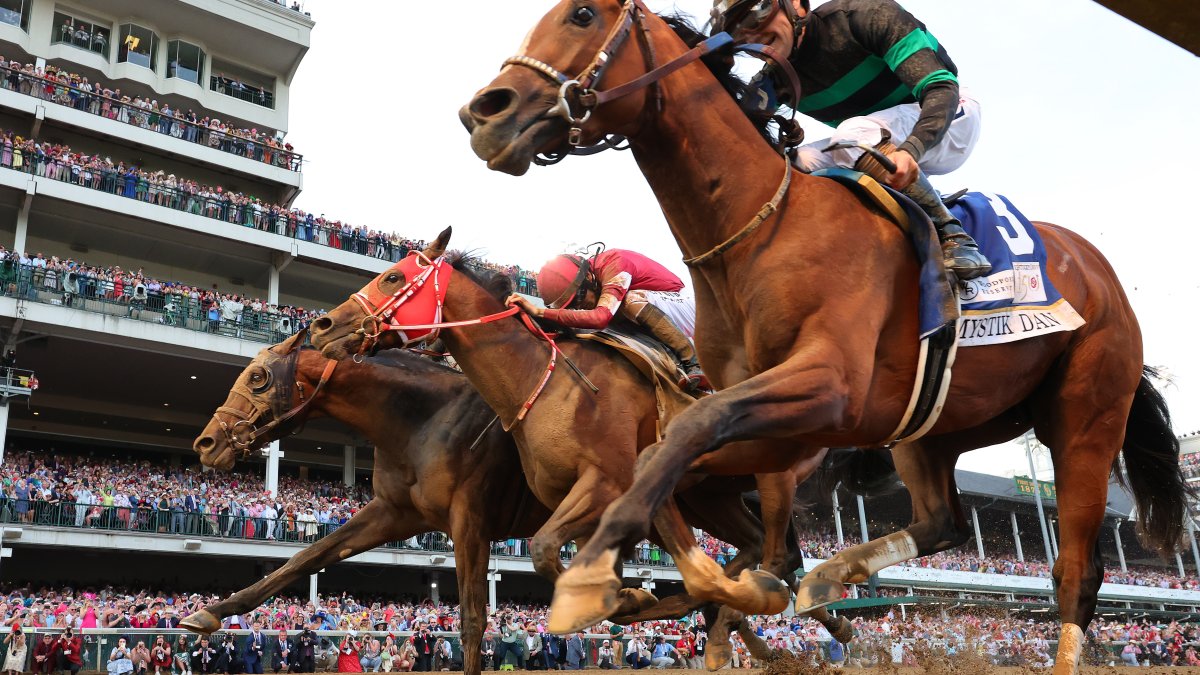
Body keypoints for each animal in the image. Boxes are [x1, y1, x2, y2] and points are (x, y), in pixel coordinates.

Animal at [456, 2, 1190, 667]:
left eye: (581, 14)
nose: (485, 113)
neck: (761, 228)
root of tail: (1095, 268)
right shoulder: (777, 416)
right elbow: (675, 458)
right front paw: (692, 584)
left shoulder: (826, 388)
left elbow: (693, 431)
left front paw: (601, 576)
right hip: (935, 422)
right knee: (942, 519)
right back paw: (828, 577)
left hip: (1085, 413)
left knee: (1076, 573)